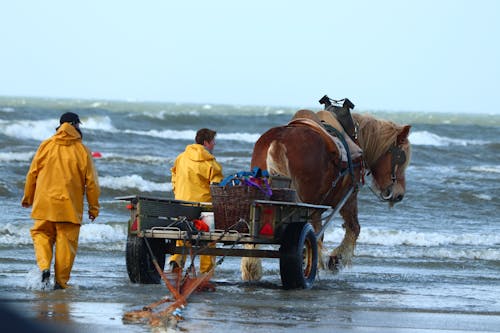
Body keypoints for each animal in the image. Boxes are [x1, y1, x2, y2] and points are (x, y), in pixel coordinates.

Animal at [241, 109, 410, 280]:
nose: (399, 194)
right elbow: (353, 228)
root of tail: (278, 141)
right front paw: (335, 260)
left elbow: (319, 234)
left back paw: (251, 267)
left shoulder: (316, 208)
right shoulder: (348, 198)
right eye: (401, 158)